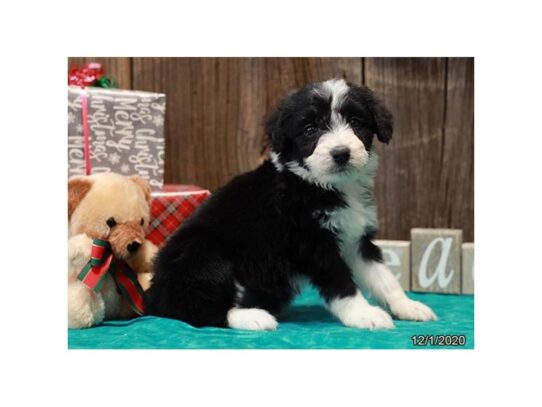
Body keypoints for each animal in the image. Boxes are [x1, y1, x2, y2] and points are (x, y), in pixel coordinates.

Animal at [147, 78, 440, 330]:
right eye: (310, 130)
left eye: (356, 122)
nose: (341, 154)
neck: (323, 186)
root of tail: (154, 293)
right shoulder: (312, 243)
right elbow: (341, 282)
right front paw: (363, 314)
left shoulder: (355, 239)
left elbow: (383, 277)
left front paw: (408, 306)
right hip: (206, 258)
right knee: (197, 308)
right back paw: (253, 317)